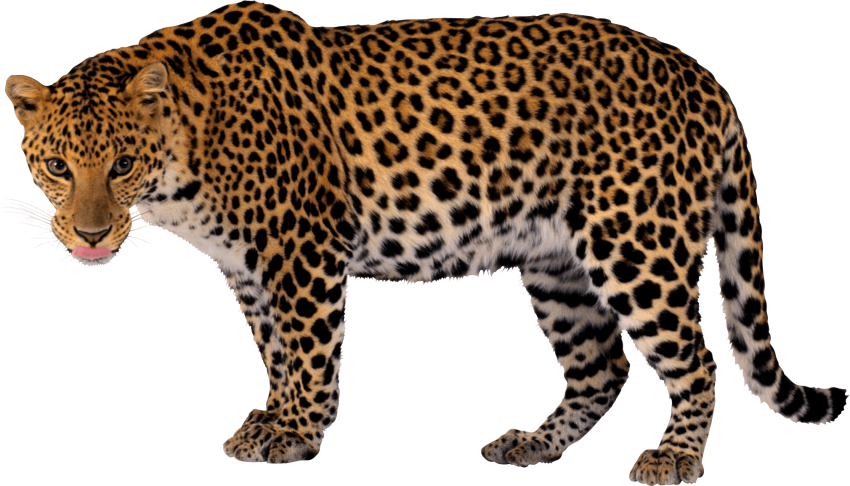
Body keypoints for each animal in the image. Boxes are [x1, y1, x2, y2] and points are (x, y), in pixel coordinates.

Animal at [4, 2, 846, 483]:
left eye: (121, 164)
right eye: (58, 166)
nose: (89, 236)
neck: (190, 149)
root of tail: (705, 75)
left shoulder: (304, 248)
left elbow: (309, 350)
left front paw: (297, 433)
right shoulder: (248, 269)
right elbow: (273, 350)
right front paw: (272, 418)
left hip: (635, 240)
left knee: (698, 358)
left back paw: (676, 457)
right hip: (556, 263)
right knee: (601, 367)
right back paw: (534, 445)